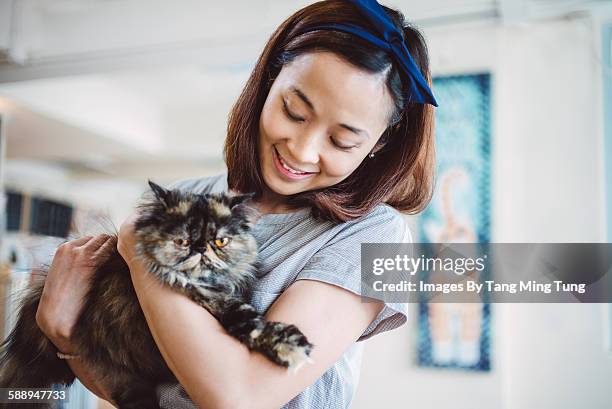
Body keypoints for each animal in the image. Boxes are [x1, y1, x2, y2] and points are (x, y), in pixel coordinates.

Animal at [0, 182, 314, 408]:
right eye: (182, 240)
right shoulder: (212, 300)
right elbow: (252, 322)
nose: (201, 249)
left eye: (220, 241)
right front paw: (290, 346)